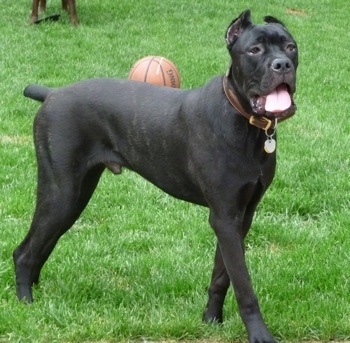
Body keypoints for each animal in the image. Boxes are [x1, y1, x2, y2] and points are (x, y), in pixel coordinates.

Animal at [13, 9, 298, 342]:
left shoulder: (241, 216)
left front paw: (211, 319)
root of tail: (52, 93)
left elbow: (221, 274)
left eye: (290, 47)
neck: (246, 123)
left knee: (42, 243)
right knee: (24, 251)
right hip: (61, 193)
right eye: (254, 50)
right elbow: (243, 284)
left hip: (75, 196)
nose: (283, 65)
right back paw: (26, 304)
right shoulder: (225, 217)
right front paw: (259, 335)